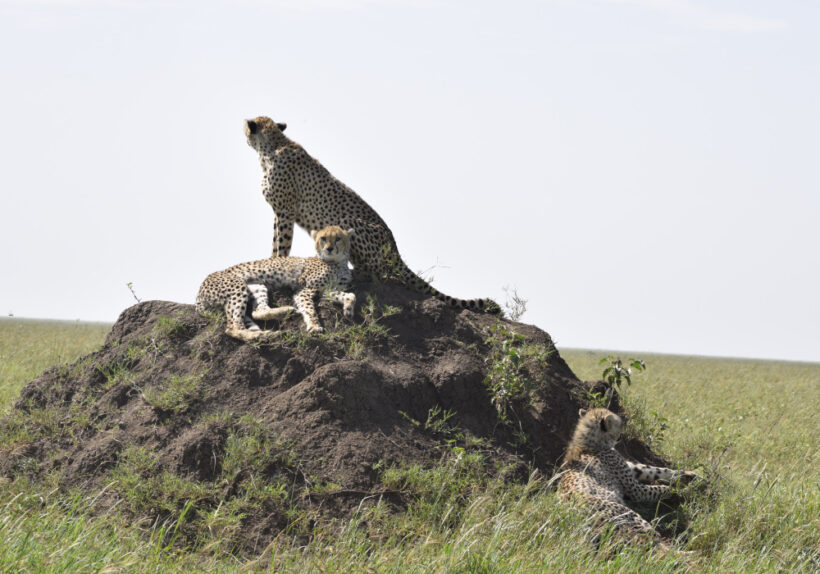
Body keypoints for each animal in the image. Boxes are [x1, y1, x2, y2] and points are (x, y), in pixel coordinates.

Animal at [198, 225, 356, 342]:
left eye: (338, 238)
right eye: (323, 238)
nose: (329, 248)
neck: (337, 263)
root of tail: (199, 292)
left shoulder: (326, 290)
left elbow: (350, 295)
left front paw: (348, 308)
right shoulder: (304, 288)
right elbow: (309, 309)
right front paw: (314, 326)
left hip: (256, 286)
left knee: (257, 312)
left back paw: (280, 317)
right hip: (237, 287)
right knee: (233, 327)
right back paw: (257, 335)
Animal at [556, 408, 700, 552]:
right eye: (618, 423)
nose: (622, 431)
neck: (589, 443)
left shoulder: (633, 469)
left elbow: (656, 470)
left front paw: (690, 475)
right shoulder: (636, 491)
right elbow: (661, 488)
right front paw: (685, 491)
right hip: (629, 515)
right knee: (654, 545)